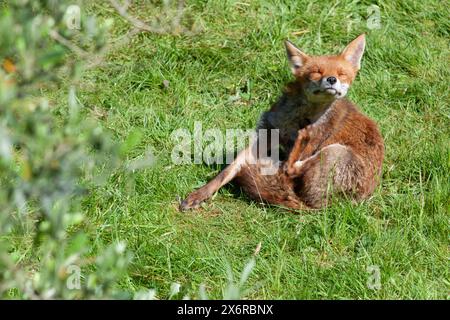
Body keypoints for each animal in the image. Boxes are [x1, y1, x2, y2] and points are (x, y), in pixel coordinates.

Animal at [181, 33, 384, 211]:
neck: (295, 119)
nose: (332, 79)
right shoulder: (265, 133)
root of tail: (332, 206)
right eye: (317, 72)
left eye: (342, 74)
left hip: (335, 152)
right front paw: (200, 194)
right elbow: (227, 171)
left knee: (289, 169)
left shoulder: (313, 142)